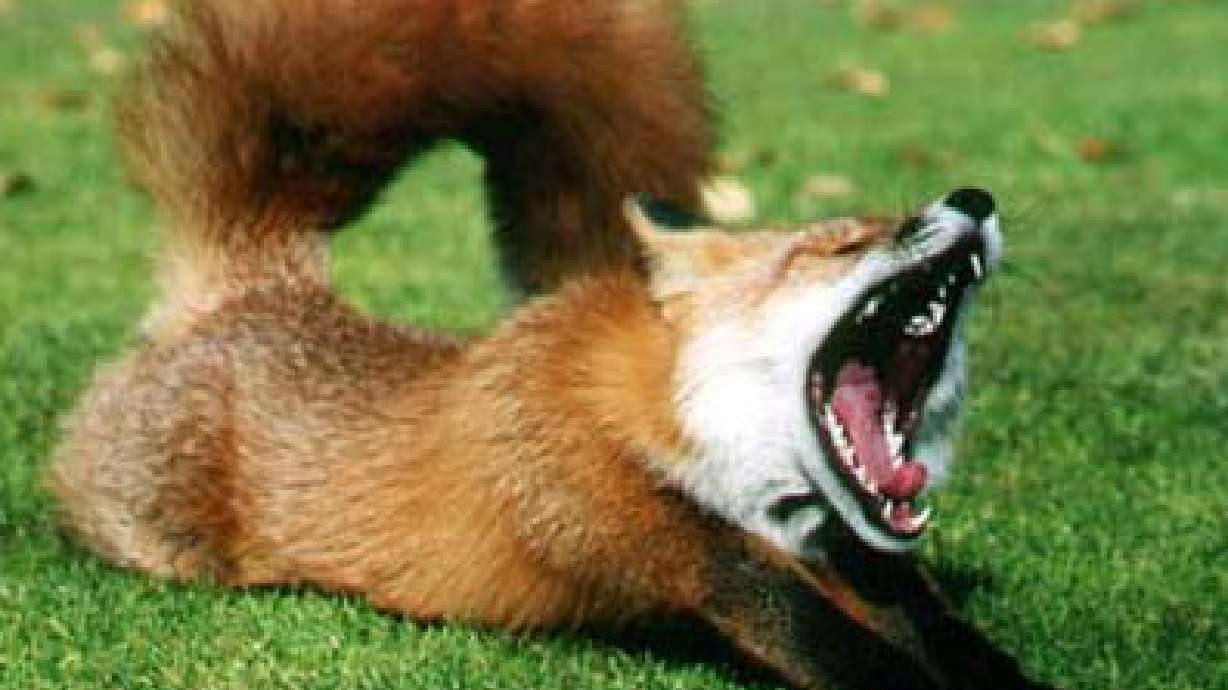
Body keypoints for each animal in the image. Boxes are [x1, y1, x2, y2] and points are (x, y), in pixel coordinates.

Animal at [49, 1, 1059, 689]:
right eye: (841, 244)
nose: (972, 199)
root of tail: (254, 282)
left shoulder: (856, 555)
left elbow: (942, 629)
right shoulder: (636, 529)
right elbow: (828, 638)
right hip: (164, 536)